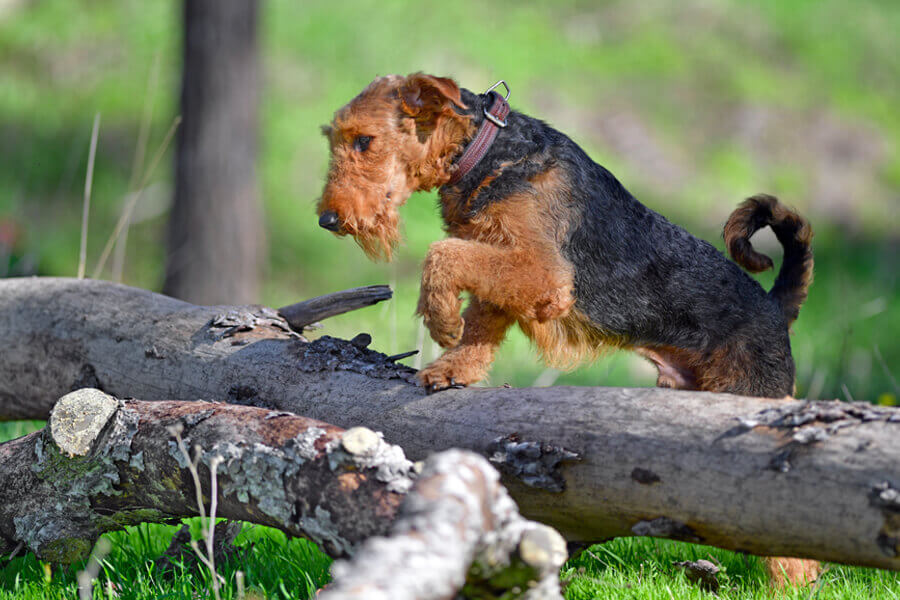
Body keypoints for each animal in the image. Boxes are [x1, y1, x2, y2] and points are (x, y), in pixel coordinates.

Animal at [314, 72, 816, 584]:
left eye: (364, 140)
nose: (327, 220)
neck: (486, 149)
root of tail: (774, 307)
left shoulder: (543, 272)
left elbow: (442, 256)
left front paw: (441, 319)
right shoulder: (501, 258)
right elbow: (479, 322)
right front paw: (454, 366)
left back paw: (791, 587)